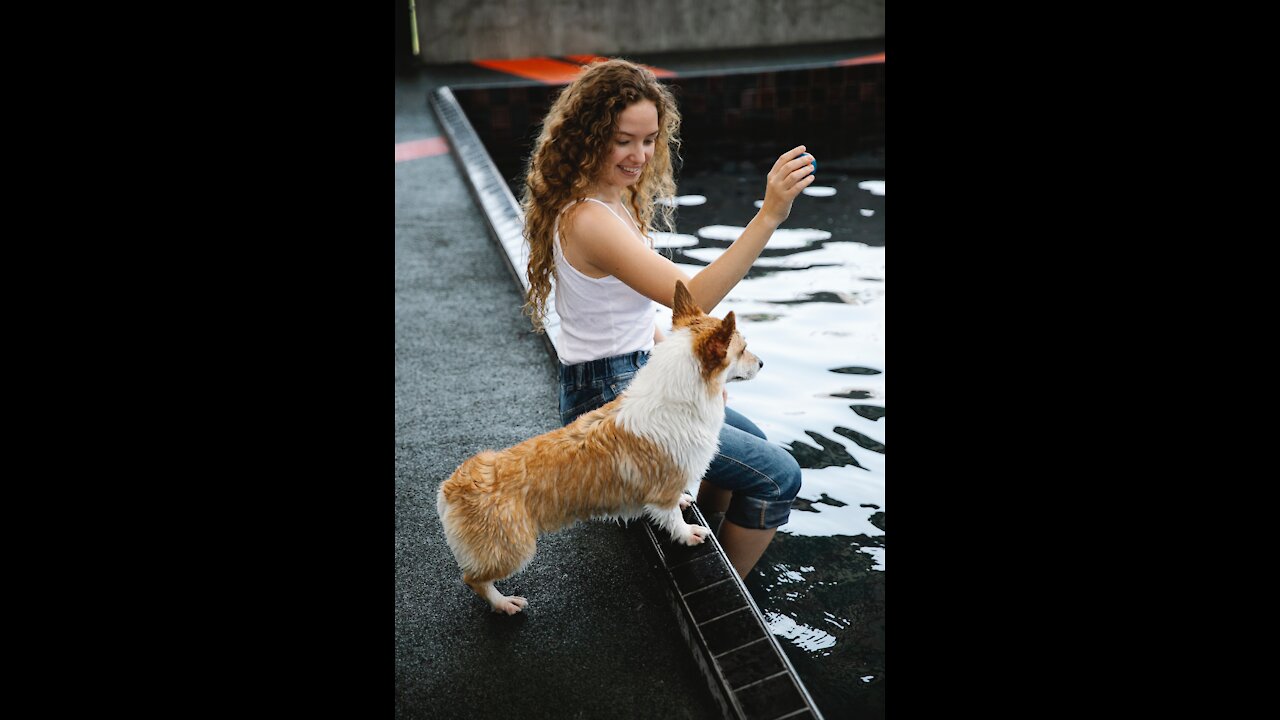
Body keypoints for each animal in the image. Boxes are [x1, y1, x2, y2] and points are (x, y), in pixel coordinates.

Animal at [437, 279, 757, 609]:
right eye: (743, 349)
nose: (761, 363)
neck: (678, 398)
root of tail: (452, 487)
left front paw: (685, 500)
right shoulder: (663, 490)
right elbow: (673, 518)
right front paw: (690, 533)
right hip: (514, 548)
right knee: (474, 579)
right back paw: (504, 604)